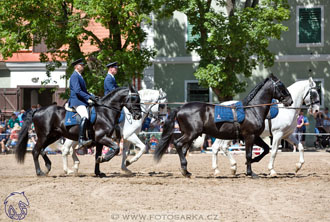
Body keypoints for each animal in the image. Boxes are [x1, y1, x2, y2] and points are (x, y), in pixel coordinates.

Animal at [153, 74, 292, 177]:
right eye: (281, 85)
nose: (290, 101)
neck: (252, 110)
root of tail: (181, 108)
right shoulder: (250, 136)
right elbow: (249, 154)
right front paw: (250, 172)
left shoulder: (256, 136)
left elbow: (266, 149)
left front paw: (252, 163)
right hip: (191, 134)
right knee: (178, 144)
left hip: (190, 135)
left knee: (183, 149)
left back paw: (186, 171)